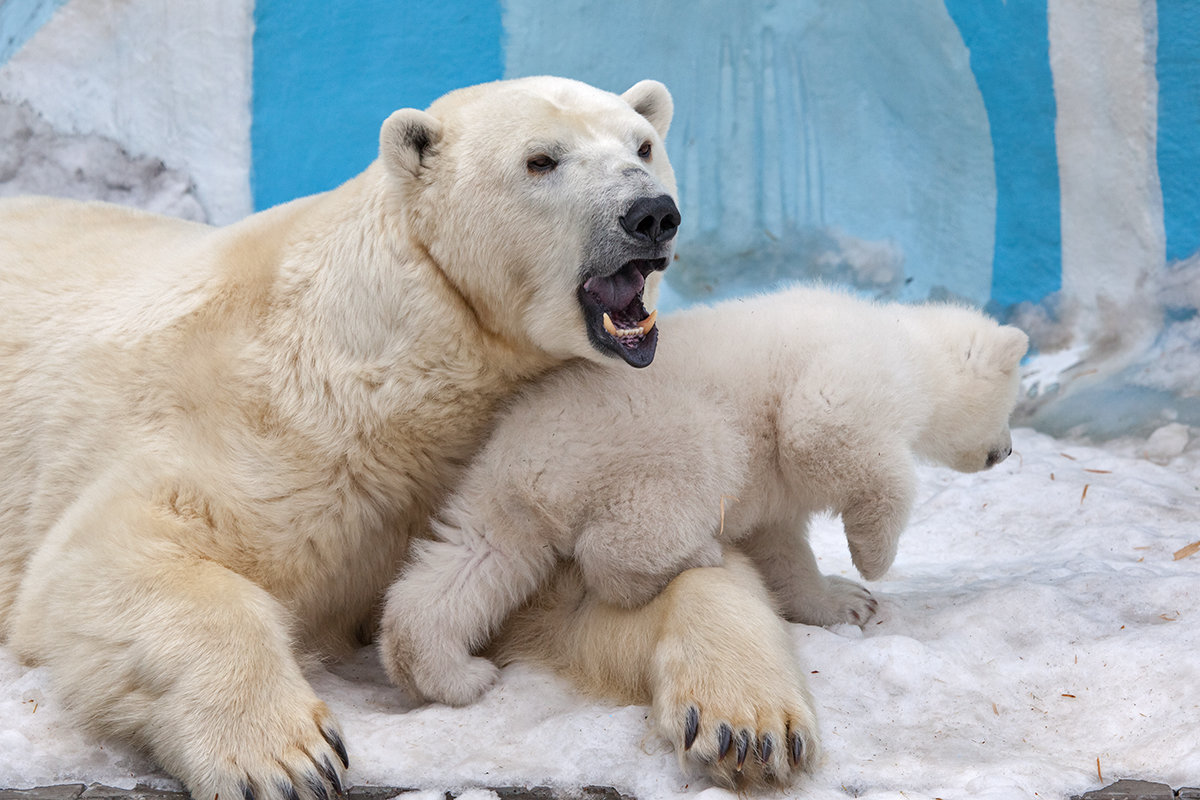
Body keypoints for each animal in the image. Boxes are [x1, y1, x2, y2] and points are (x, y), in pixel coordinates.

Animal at [0, 77, 696, 800]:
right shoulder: (269, 428)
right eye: (540, 160)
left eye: (644, 146)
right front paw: (288, 759)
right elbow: (104, 557)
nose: (651, 214)